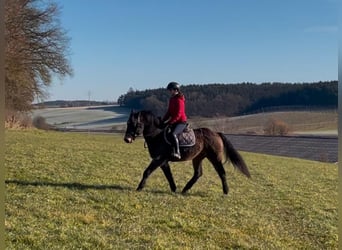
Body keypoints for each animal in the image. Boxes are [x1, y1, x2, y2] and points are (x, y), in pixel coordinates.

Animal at [123, 110, 251, 194]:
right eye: (127, 123)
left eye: (134, 124)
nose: (127, 139)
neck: (157, 135)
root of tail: (216, 133)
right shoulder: (163, 161)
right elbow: (169, 175)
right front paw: (174, 189)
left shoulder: (158, 159)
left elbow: (147, 172)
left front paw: (139, 188)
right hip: (198, 158)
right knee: (198, 173)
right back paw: (185, 189)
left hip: (215, 157)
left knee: (222, 172)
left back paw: (226, 191)